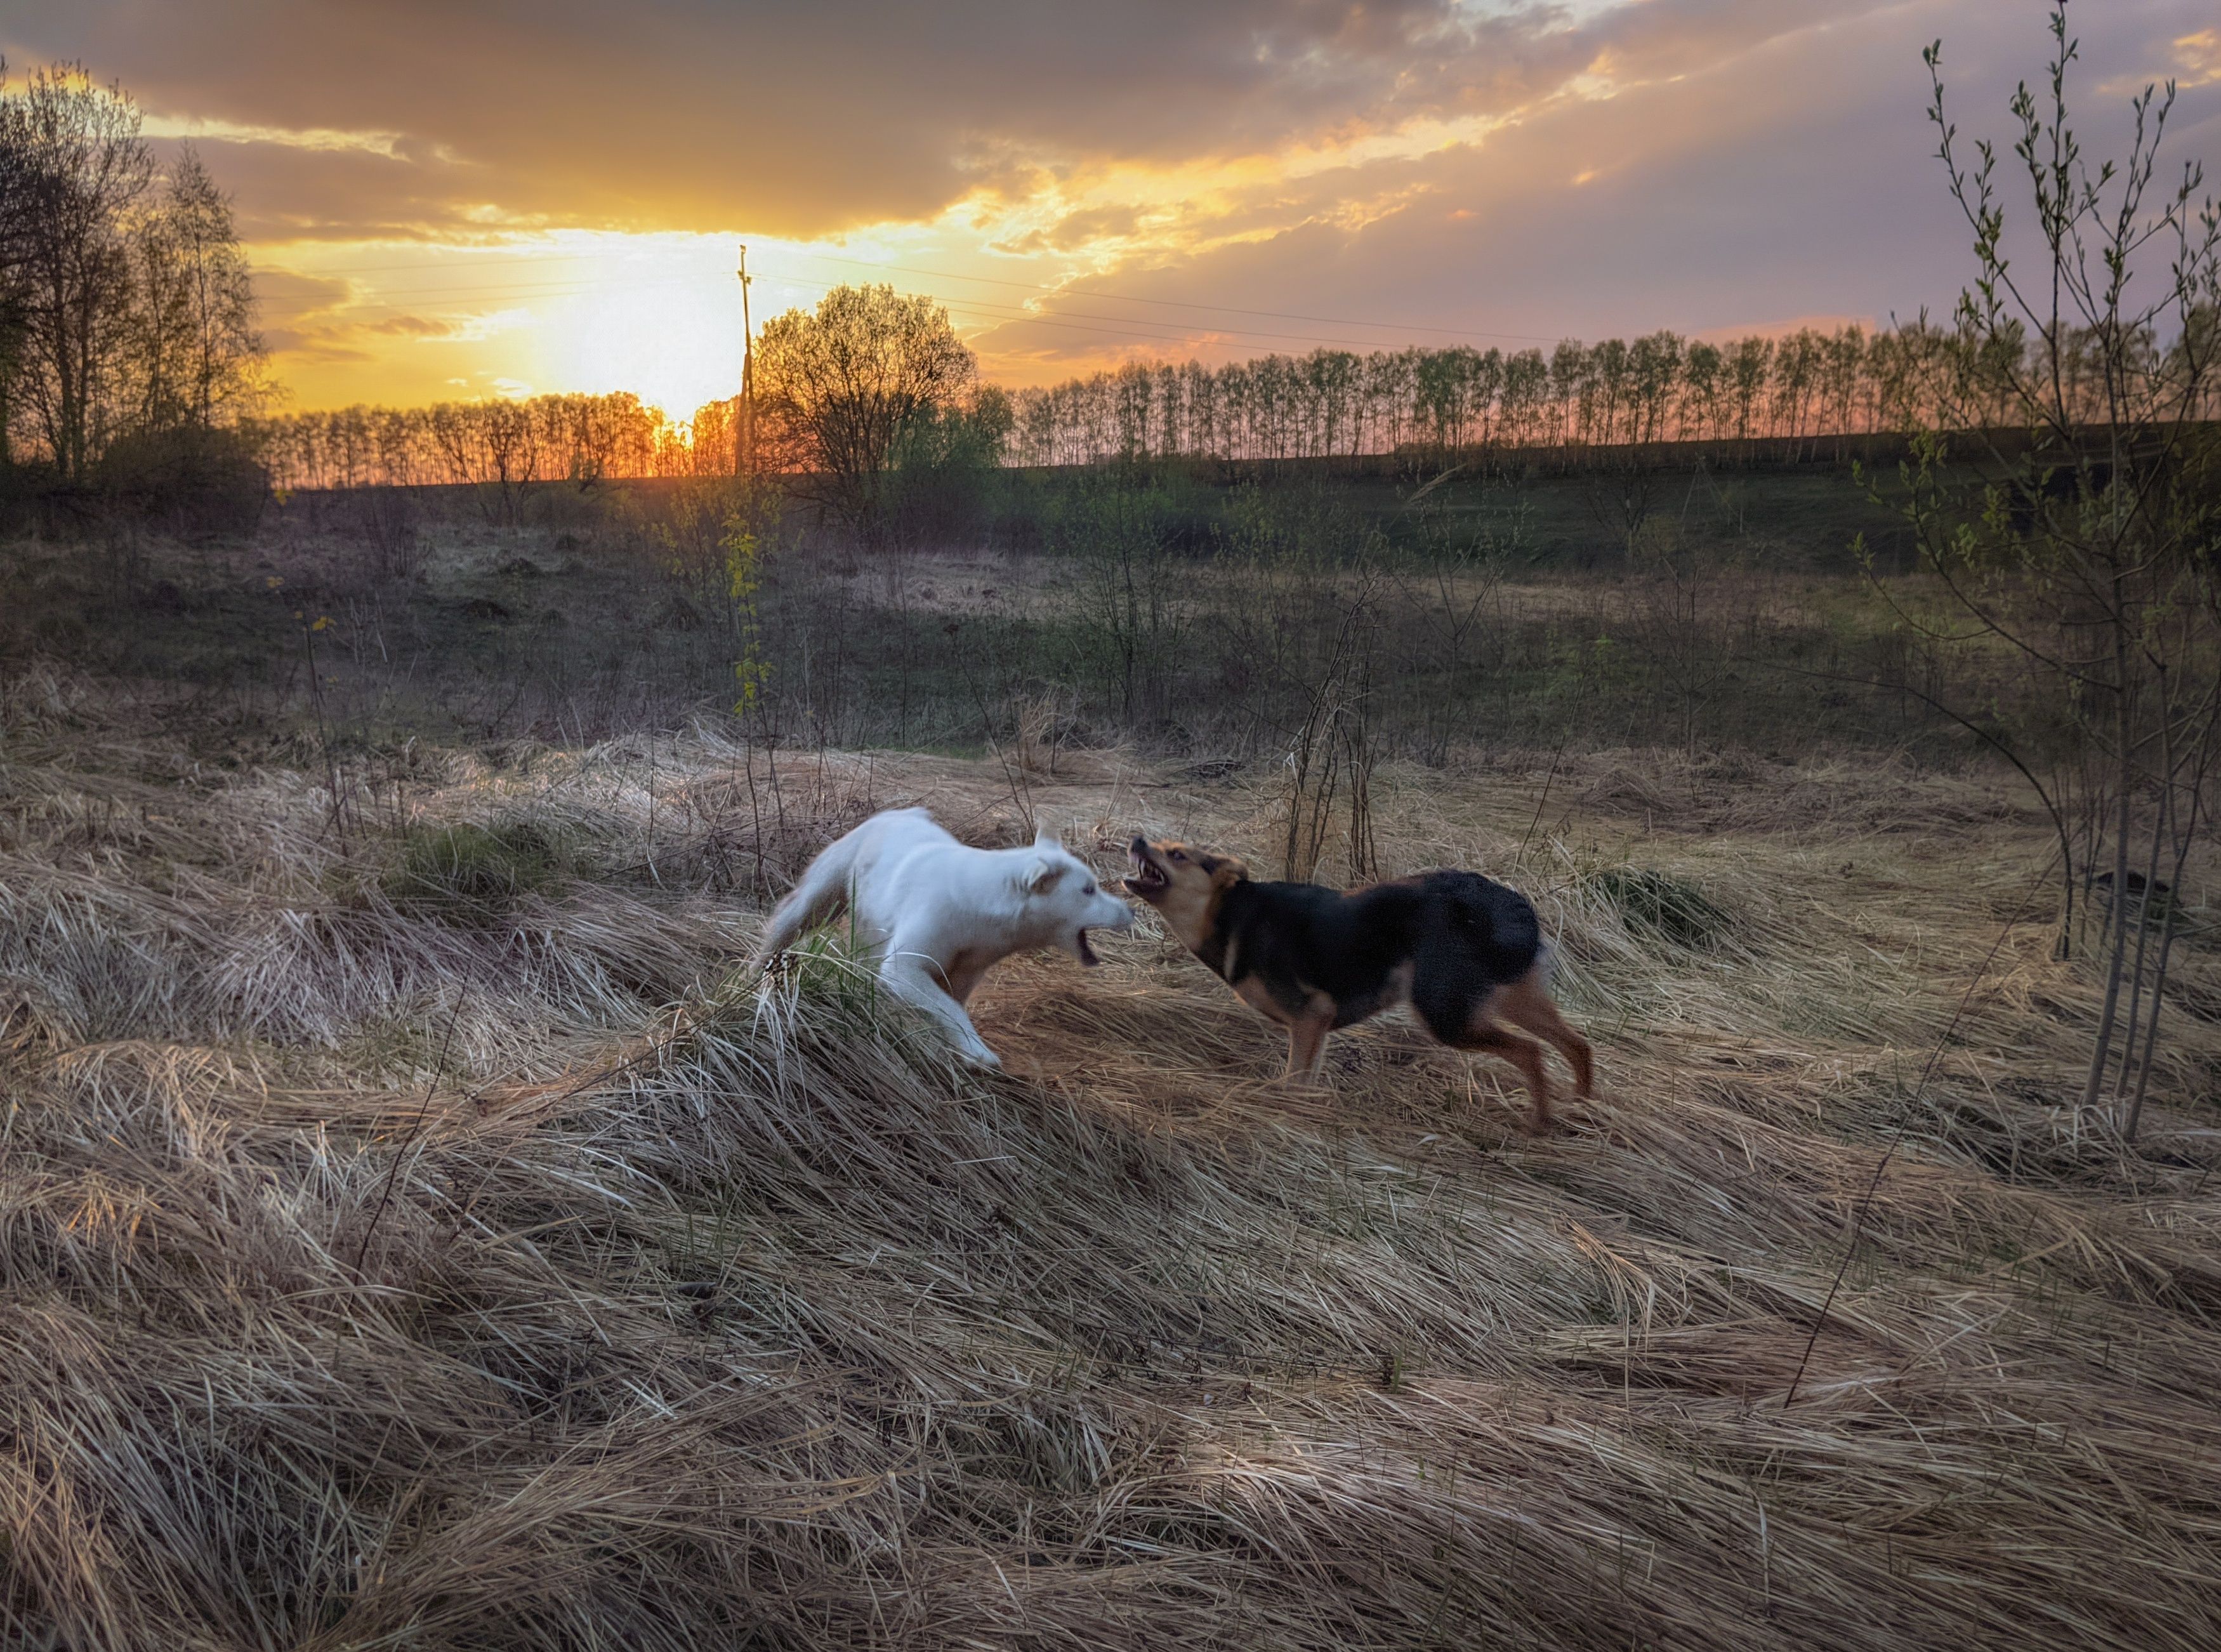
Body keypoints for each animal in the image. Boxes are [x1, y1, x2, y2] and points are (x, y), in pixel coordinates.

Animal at [751, 808, 1128, 1066]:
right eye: (1088, 890)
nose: (1130, 910)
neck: (981, 907)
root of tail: (899, 813)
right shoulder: (907, 963)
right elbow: (946, 1006)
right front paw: (980, 1053)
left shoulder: (968, 969)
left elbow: (951, 1004)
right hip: (824, 890)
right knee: (789, 921)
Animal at [1137, 830, 1590, 1128]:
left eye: (1177, 854)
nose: (1137, 839)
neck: (1230, 915)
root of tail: (1509, 900)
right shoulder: (1315, 1027)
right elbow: (1305, 1080)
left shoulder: (1310, 1017)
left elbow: (1293, 1083)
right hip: (1510, 996)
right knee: (1577, 1044)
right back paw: (1583, 1107)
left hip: (1444, 1014)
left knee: (1531, 1051)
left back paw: (1541, 1122)